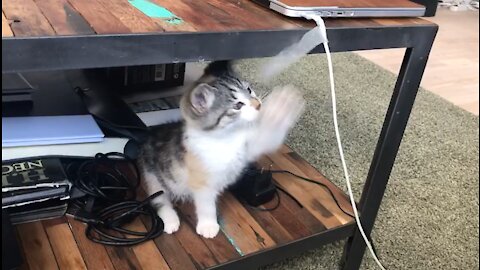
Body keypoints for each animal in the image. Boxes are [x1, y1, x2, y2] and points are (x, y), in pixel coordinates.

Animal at [138, 61, 304, 238]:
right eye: (238, 105)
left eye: (249, 90)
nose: (258, 105)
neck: (226, 136)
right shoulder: (201, 179)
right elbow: (206, 204)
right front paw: (208, 225)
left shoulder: (246, 149)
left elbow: (266, 138)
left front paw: (279, 111)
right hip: (153, 176)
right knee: (158, 199)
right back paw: (170, 220)